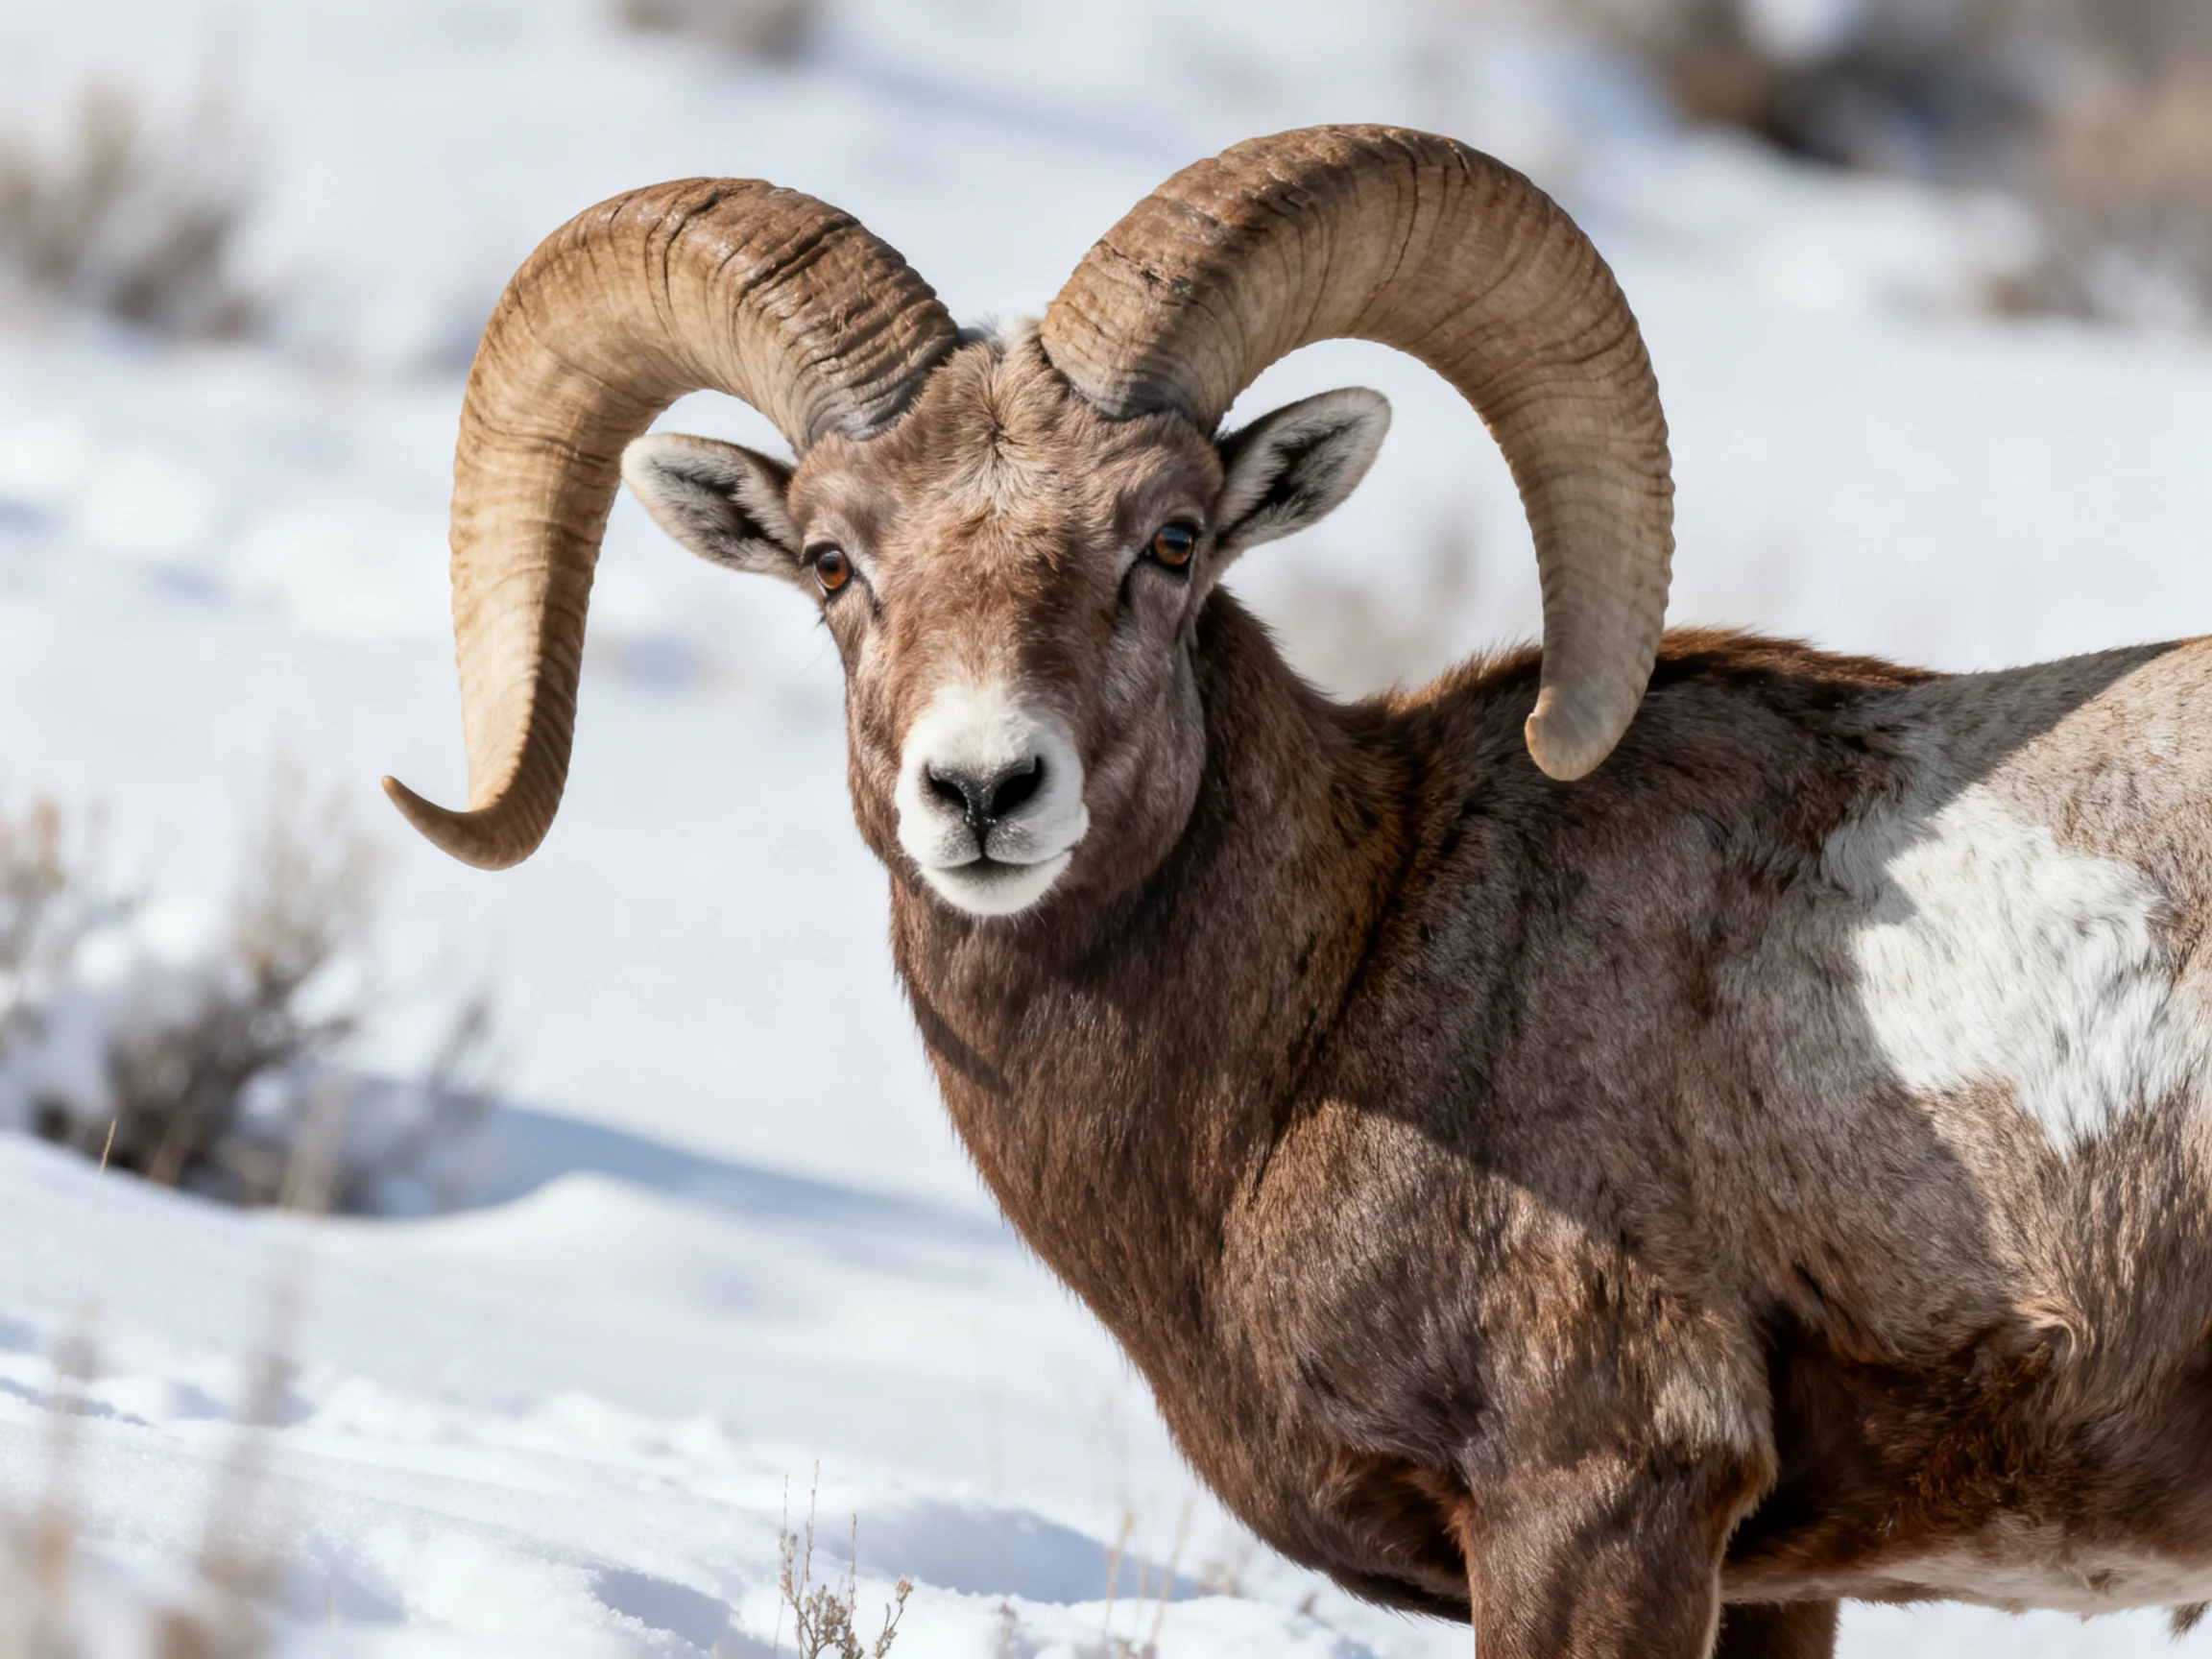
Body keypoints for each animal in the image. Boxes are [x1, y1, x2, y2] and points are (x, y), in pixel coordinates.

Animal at [383, 124, 2212, 1656]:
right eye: (835, 562)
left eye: (1172, 537)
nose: (982, 791)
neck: (1344, 988)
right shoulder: (1771, 1585)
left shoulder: (1597, 1508)